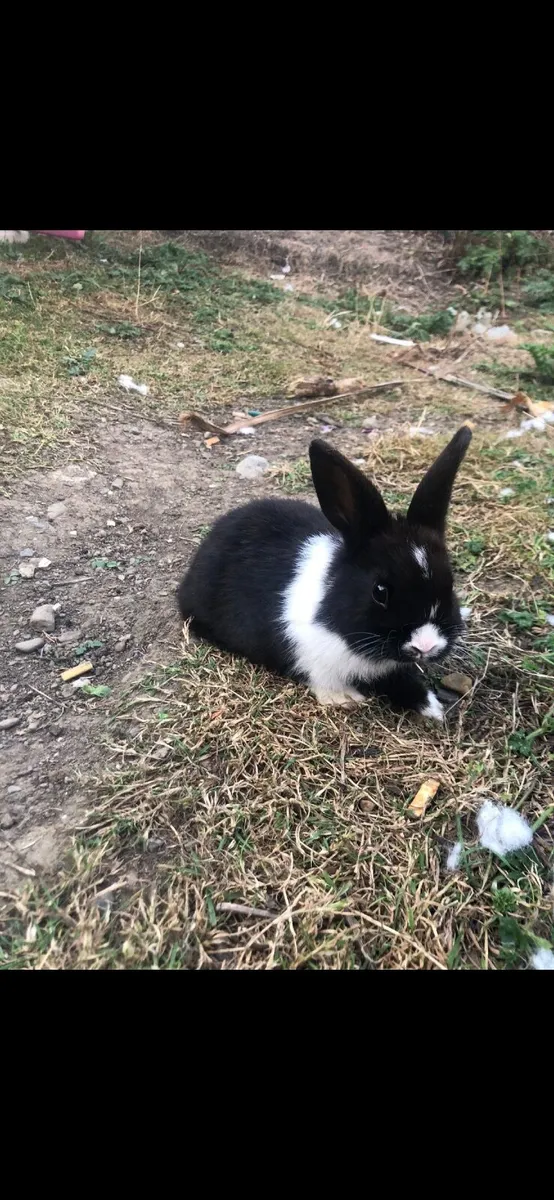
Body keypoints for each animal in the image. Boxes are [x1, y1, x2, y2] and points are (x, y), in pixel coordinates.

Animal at [177, 425, 472, 721]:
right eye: (380, 591)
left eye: (451, 583)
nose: (426, 645)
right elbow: (326, 680)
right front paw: (345, 699)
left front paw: (432, 708)